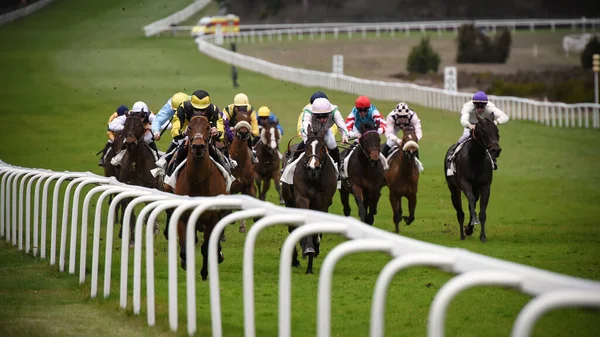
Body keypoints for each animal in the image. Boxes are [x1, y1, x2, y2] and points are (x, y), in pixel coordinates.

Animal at [175, 115, 229, 278]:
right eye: (189, 127)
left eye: (208, 128)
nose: (198, 146)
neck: (198, 181)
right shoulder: (183, 217)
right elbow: (185, 249)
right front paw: (185, 263)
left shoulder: (212, 218)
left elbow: (206, 247)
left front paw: (204, 272)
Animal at [282, 123, 338, 272]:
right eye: (307, 146)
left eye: (323, 147)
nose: (313, 168)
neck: (314, 179)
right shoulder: (302, 198)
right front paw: (308, 249)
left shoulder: (323, 203)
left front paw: (313, 254)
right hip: (289, 201)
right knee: (292, 228)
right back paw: (295, 259)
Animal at [446, 113, 502, 242]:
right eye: (483, 131)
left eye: (497, 130)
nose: (496, 150)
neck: (475, 159)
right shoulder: (465, 183)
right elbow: (470, 201)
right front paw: (472, 224)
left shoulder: (485, 186)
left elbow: (482, 211)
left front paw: (482, 236)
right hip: (454, 188)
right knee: (460, 211)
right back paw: (462, 234)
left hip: (475, 189)